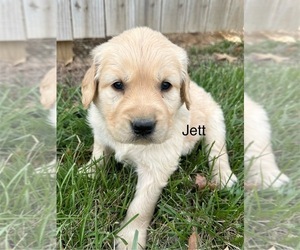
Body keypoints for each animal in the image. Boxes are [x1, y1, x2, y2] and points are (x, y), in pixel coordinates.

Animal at [81, 26, 237, 249]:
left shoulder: (157, 167)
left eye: (166, 85)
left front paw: (130, 238)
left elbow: (140, 207)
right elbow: (98, 156)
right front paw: (85, 172)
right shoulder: (101, 133)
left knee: (218, 152)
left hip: (215, 123)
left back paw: (225, 178)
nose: (143, 126)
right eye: (117, 85)